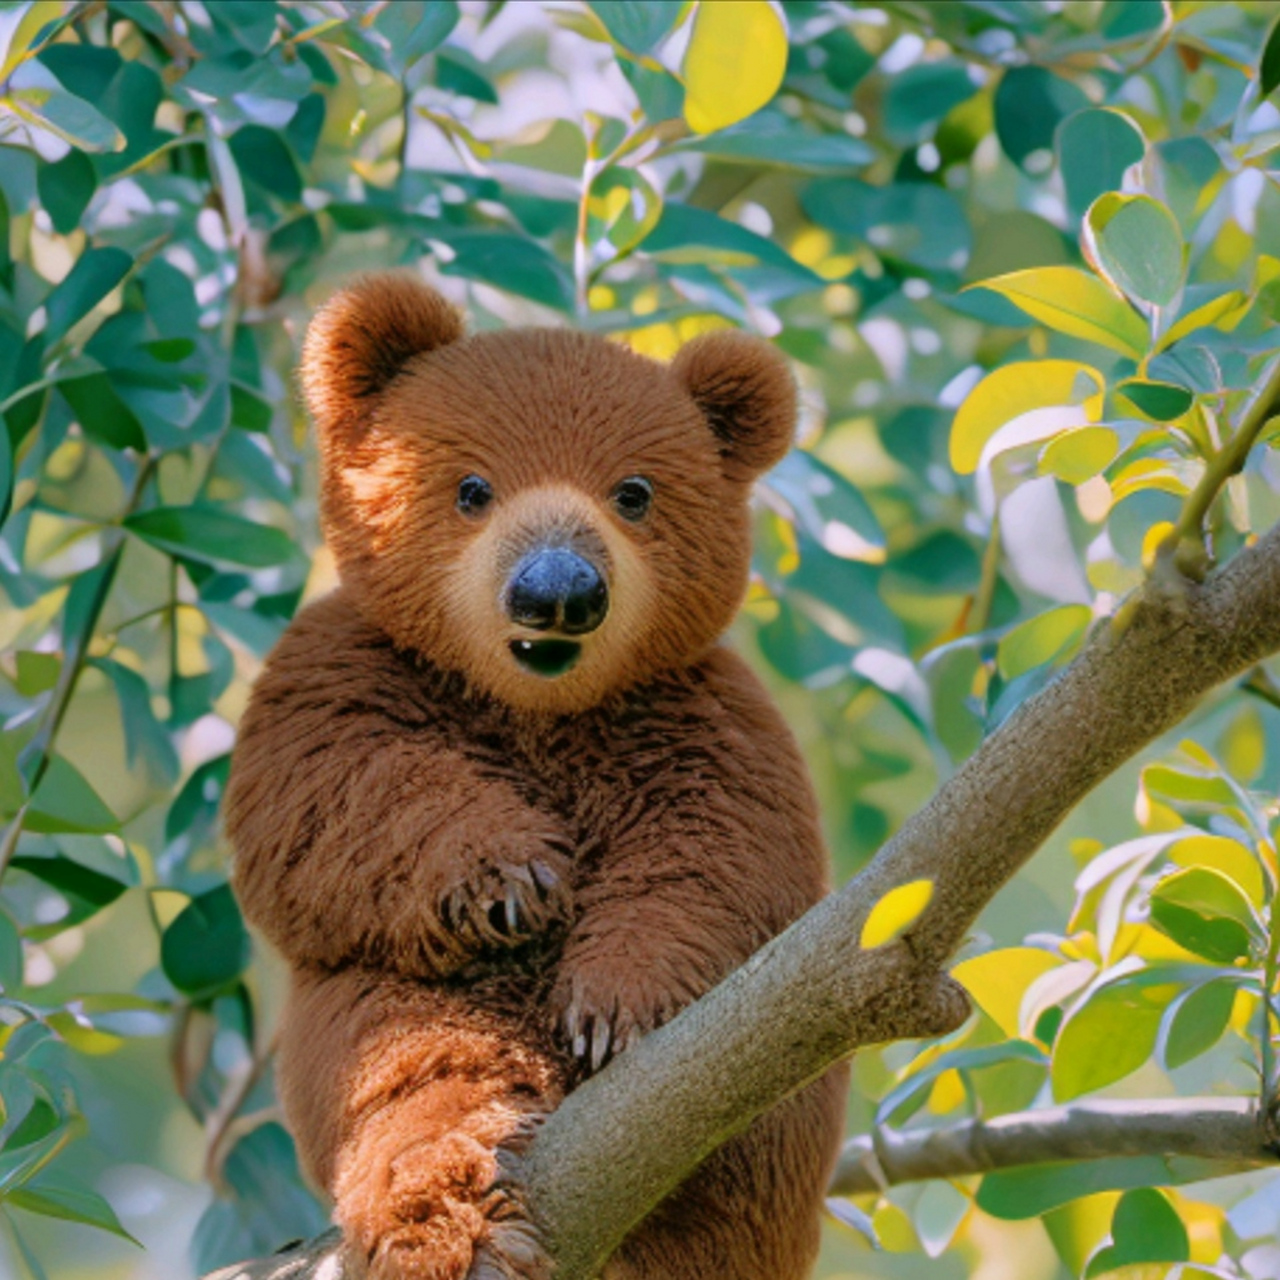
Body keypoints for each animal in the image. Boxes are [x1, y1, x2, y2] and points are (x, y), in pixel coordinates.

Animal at [227, 277, 849, 1280]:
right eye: (472, 487)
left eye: (633, 492)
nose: (558, 590)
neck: (538, 711)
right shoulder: (340, 670)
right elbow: (323, 806)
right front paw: (513, 874)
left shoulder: (700, 715)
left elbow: (723, 860)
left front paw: (617, 1006)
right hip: (400, 1011)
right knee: (414, 1070)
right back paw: (450, 1219)